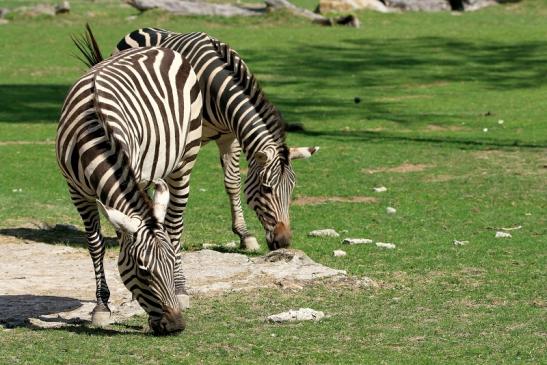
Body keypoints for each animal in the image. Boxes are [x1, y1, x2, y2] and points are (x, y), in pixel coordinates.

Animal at [57, 30, 203, 332]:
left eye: (169, 263)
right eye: (143, 271)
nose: (176, 325)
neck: (93, 133)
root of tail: (159, 48)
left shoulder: (131, 169)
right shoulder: (76, 191)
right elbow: (96, 244)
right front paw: (101, 306)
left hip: (186, 157)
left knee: (175, 224)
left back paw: (181, 290)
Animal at [112, 28, 316, 252]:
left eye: (292, 188)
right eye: (266, 188)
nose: (284, 242)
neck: (218, 86)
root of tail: (141, 30)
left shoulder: (230, 136)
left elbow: (232, 183)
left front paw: (245, 235)